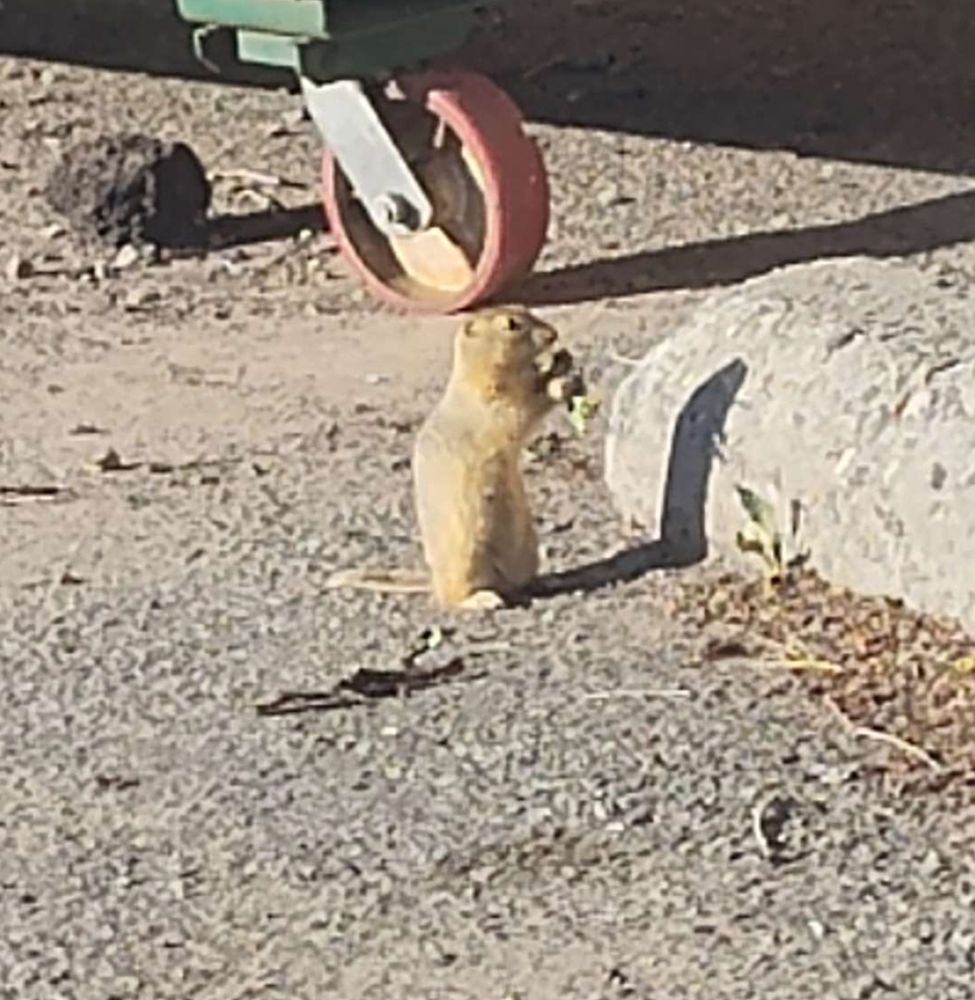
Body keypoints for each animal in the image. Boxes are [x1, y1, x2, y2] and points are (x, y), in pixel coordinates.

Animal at [325, 305, 585, 611]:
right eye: (511, 324)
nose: (553, 334)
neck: (475, 372)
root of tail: (433, 582)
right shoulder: (494, 403)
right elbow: (522, 411)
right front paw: (561, 382)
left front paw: (566, 363)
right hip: (466, 558)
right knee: (455, 598)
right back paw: (485, 599)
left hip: (528, 549)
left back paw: (547, 581)